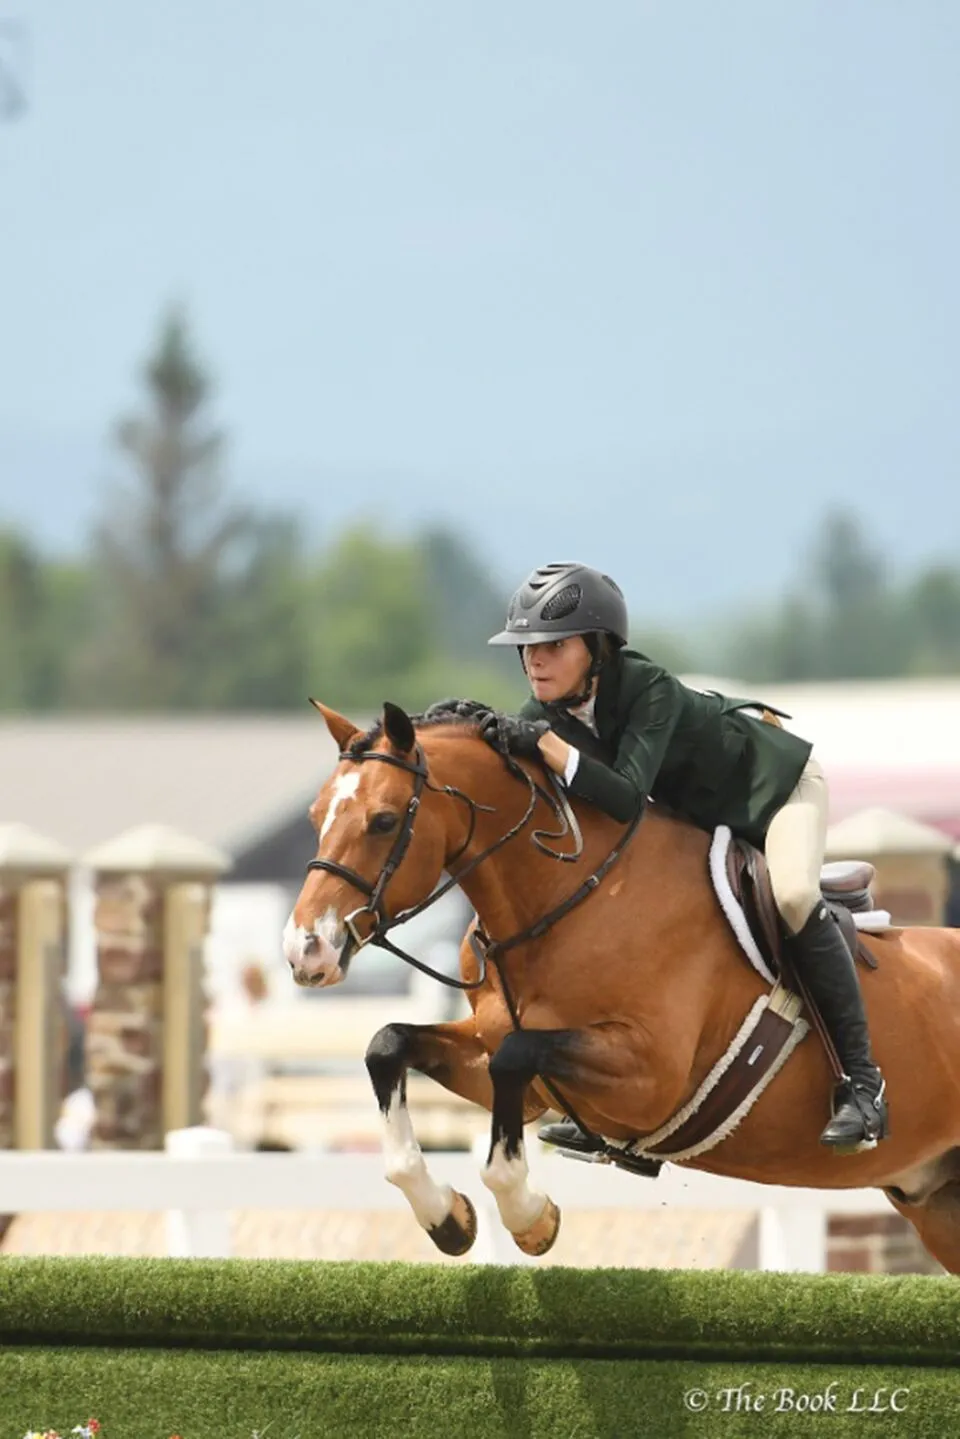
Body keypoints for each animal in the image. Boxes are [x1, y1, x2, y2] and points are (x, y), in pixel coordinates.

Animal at [284, 699, 960, 1272]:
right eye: (316, 816)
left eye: (383, 821)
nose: (303, 951)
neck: (571, 895)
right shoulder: (510, 1068)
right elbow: (389, 1044)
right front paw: (447, 1218)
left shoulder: (649, 1079)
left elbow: (514, 1059)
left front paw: (530, 1218)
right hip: (936, 1200)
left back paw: (858, 1109)